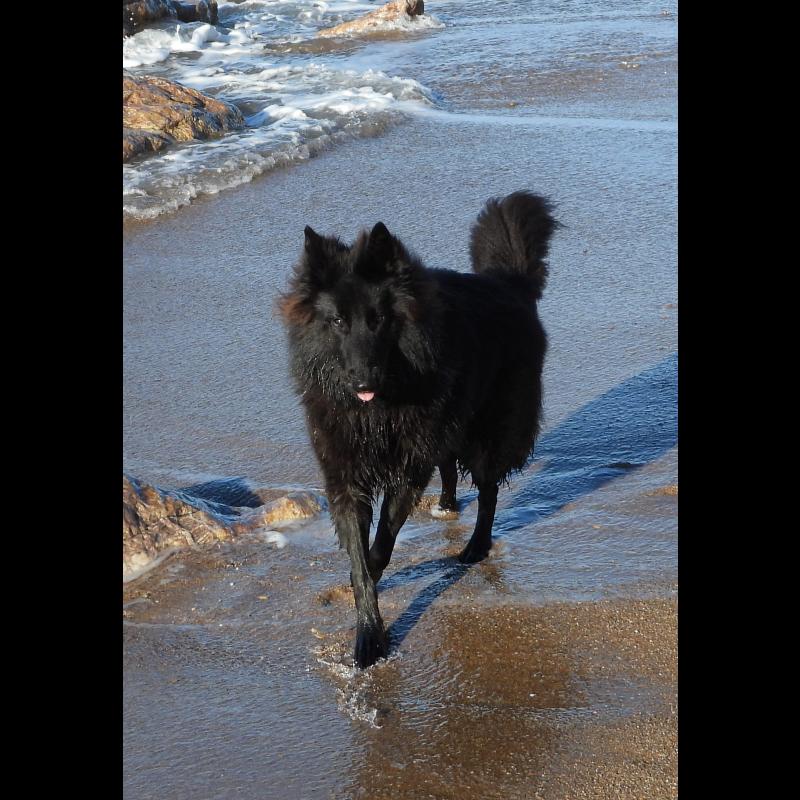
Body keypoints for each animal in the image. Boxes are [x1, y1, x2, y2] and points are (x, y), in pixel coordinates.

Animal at [279, 191, 558, 668]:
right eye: (338, 322)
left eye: (378, 319)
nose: (362, 381)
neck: (376, 410)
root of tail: (508, 284)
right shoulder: (345, 476)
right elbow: (361, 560)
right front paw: (368, 629)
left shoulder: (406, 468)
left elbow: (381, 545)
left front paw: (370, 627)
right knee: (449, 465)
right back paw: (445, 504)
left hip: (486, 431)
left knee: (488, 489)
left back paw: (475, 547)